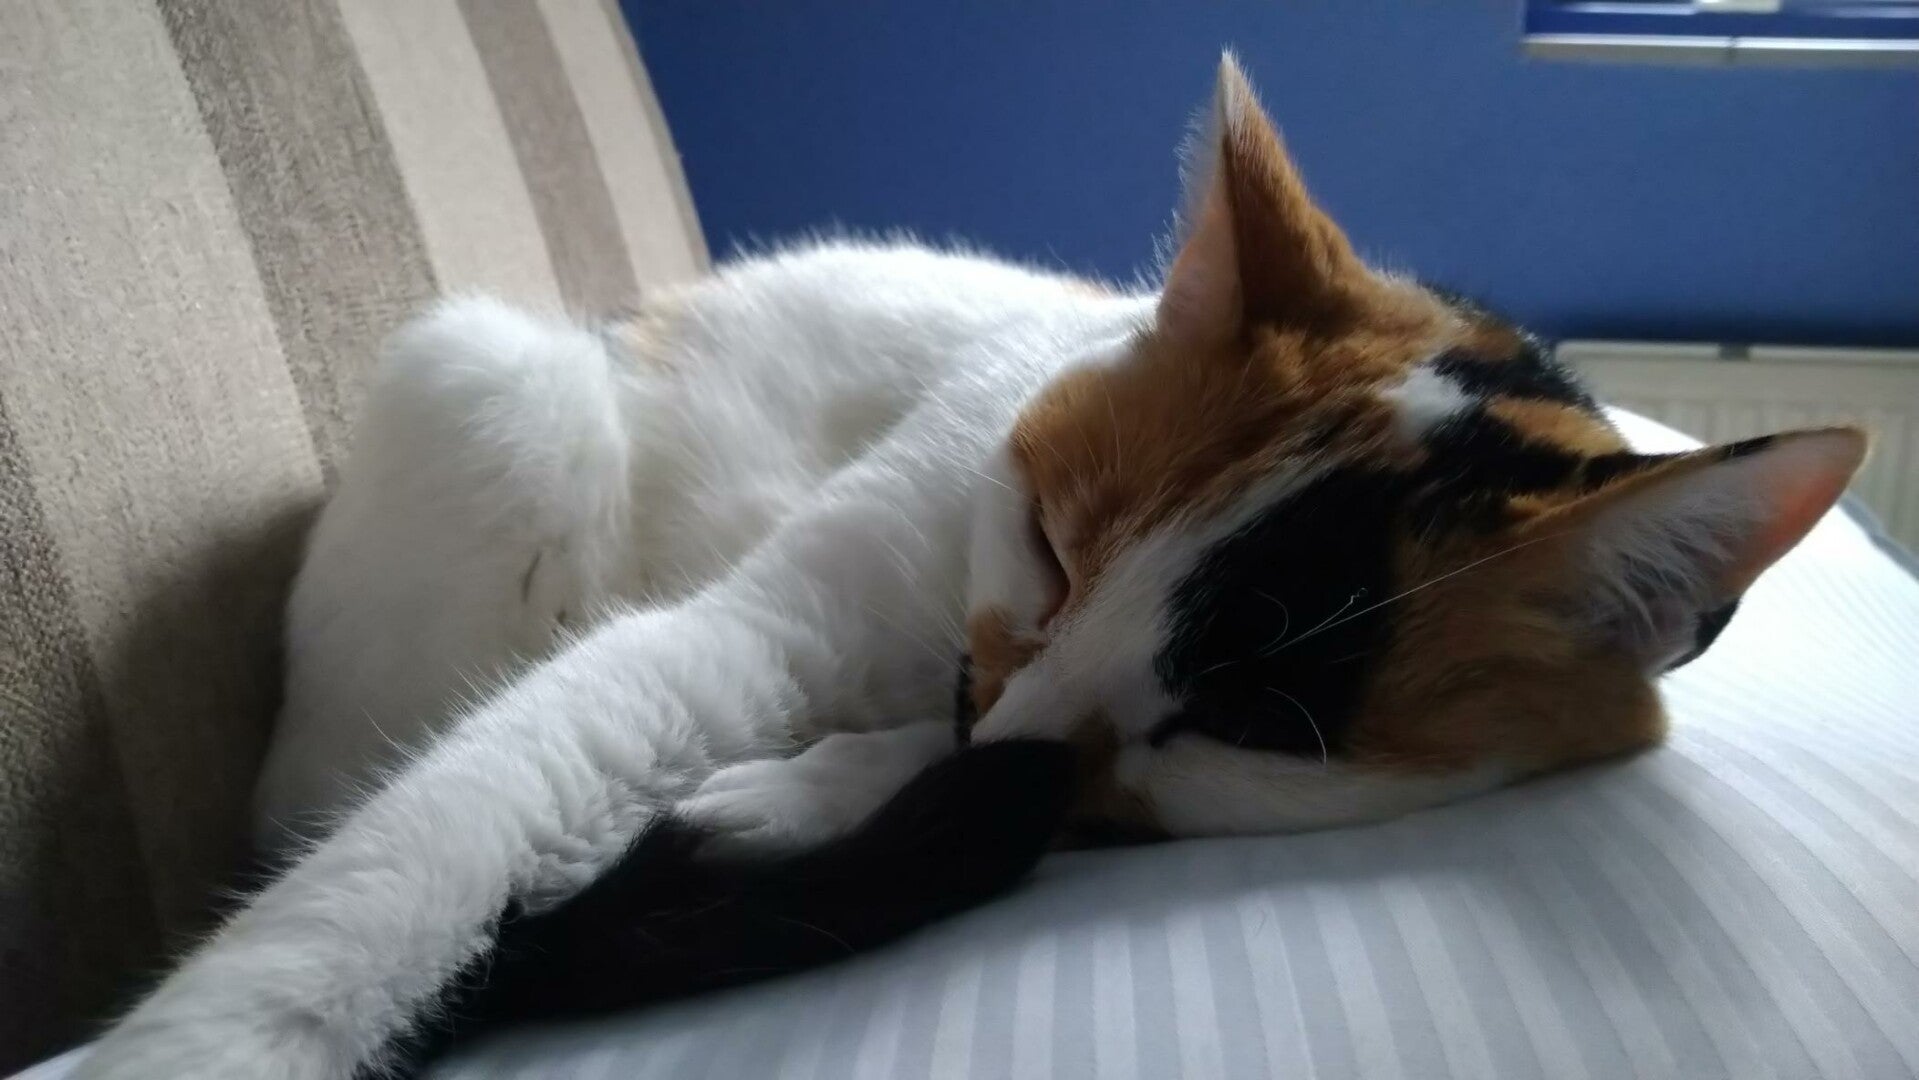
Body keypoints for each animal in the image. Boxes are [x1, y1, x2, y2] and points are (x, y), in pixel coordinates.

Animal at [74, 55, 1863, 1079]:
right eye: (1054, 546)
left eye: (1245, 728)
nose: (1000, 722)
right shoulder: (773, 622)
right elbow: (422, 849)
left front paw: (804, 792)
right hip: (493, 389)